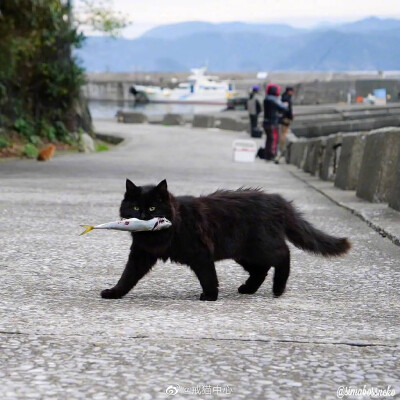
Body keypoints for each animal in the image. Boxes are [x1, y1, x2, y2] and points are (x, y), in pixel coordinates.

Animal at [101, 180, 352, 302]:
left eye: (153, 208)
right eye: (135, 207)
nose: (143, 216)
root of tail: (278, 200)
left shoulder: (201, 253)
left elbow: (208, 277)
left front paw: (210, 296)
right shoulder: (141, 254)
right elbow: (127, 276)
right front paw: (114, 293)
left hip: (258, 246)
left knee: (283, 254)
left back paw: (278, 289)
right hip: (243, 253)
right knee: (261, 269)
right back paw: (248, 289)